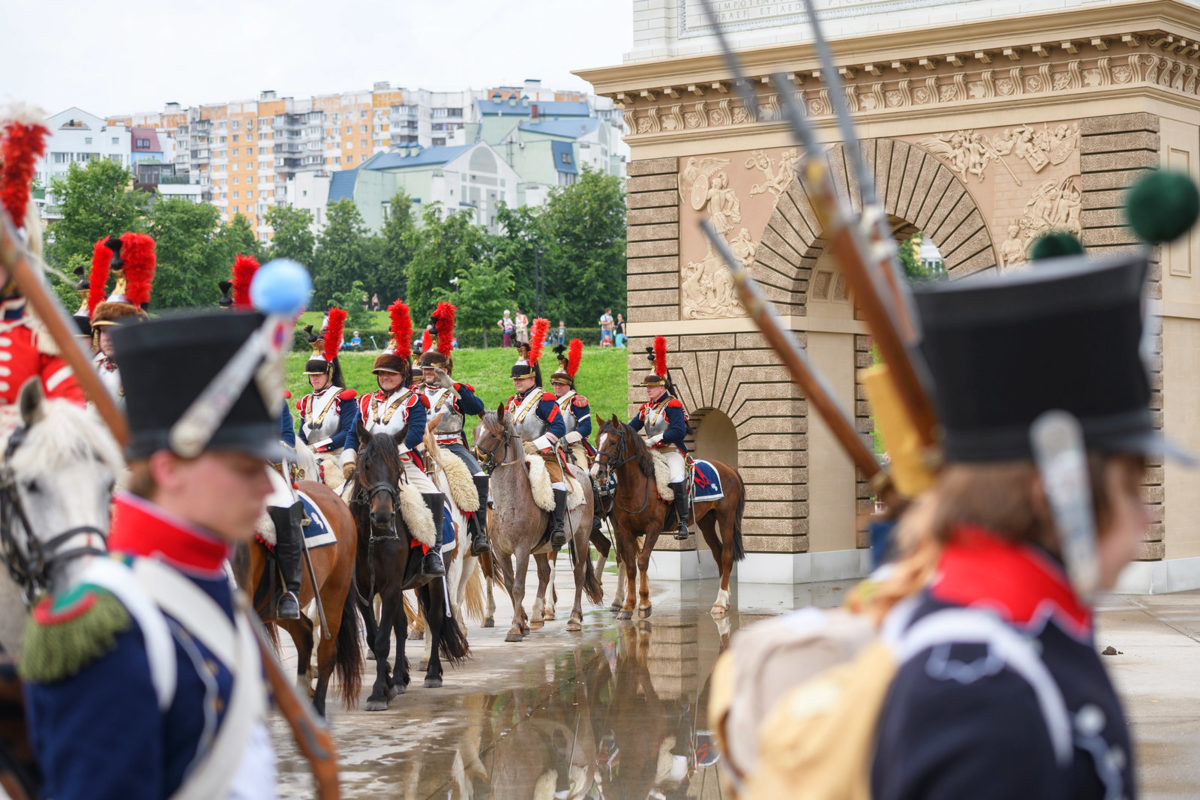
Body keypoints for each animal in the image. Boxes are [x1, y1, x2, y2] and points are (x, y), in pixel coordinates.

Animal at [348, 422, 468, 710]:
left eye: (398, 469)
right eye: (366, 464)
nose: (382, 515)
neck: (371, 537)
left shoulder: (390, 587)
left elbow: (382, 640)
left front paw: (378, 692)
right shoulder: (362, 593)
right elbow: (375, 637)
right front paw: (389, 683)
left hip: (435, 579)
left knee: (435, 619)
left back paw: (433, 673)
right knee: (402, 626)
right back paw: (400, 678)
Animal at [468, 410, 600, 642]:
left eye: (493, 434)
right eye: (476, 431)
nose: (475, 456)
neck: (509, 501)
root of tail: (581, 473)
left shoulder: (522, 549)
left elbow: (519, 587)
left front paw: (514, 628)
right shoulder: (501, 551)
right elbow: (510, 585)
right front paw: (522, 623)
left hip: (581, 537)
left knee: (579, 573)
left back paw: (574, 618)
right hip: (540, 547)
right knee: (545, 572)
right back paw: (538, 615)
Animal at [595, 417, 744, 623]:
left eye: (612, 442)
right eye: (596, 441)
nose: (597, 472)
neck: (635, 486)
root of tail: (728, 468)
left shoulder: (654, 529)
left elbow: (642, 561)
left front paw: (644, 604)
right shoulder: (624, 530)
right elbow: (631, 566)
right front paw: (627, 606)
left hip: (726, 518)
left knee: (727, 556)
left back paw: (720, 603)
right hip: (706, 521)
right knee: (718, 553)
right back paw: (725, 598)